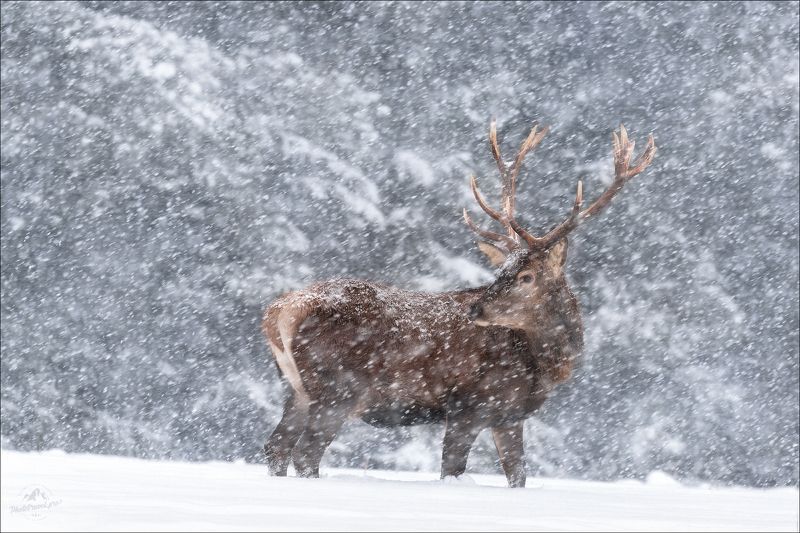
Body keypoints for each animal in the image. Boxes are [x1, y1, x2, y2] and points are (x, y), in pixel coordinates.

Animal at [262, 120, 656, 487]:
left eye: (526, 276)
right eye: (504, 270)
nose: (476, 309)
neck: (542, 367)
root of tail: (281, 311)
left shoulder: (509, 415)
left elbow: (518, 475)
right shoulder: (469, 406)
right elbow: (452, 471)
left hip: (296, 390)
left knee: (276, 447)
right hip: (339, 389)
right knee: (305, 453)